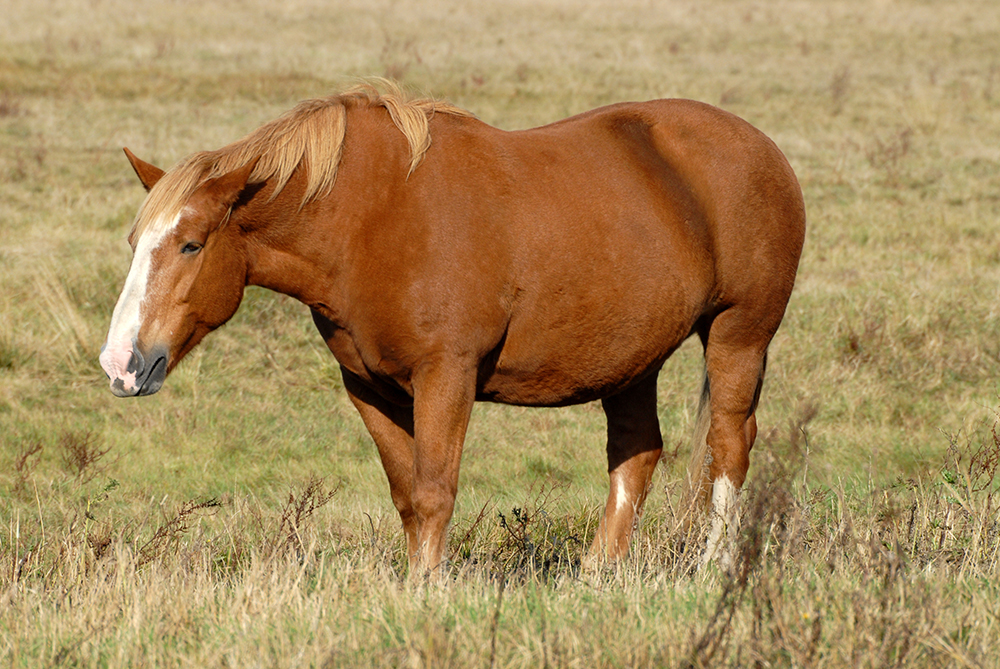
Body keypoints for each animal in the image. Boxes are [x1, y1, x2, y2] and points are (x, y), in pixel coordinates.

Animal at [101, 81, 804, 572]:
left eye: (191, 244)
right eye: (135, 242)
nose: (120, 364)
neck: (371, 221)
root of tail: (764, 148)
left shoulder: (447, 376)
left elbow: (436, 490)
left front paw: (426, 594)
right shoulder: (370, 388)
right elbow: (408, 496)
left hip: (740, 333)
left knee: (729, 445)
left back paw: (714, 567)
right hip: (633, 358)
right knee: (638, 452)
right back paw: (598, 572)